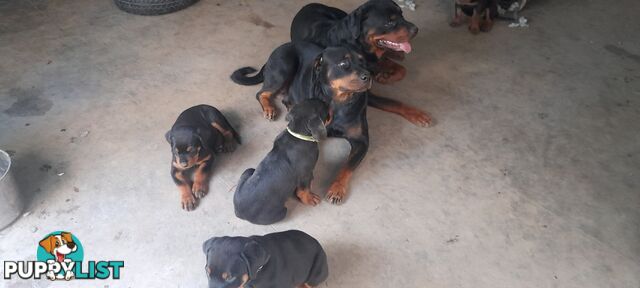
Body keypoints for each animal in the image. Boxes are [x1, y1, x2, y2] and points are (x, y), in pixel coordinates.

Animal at [290, 0, 420, 85]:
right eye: (389, 22)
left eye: (402, 15)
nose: (416, 29)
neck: (359, 46)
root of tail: (308, 5)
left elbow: (403, 70)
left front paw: (386, 76)